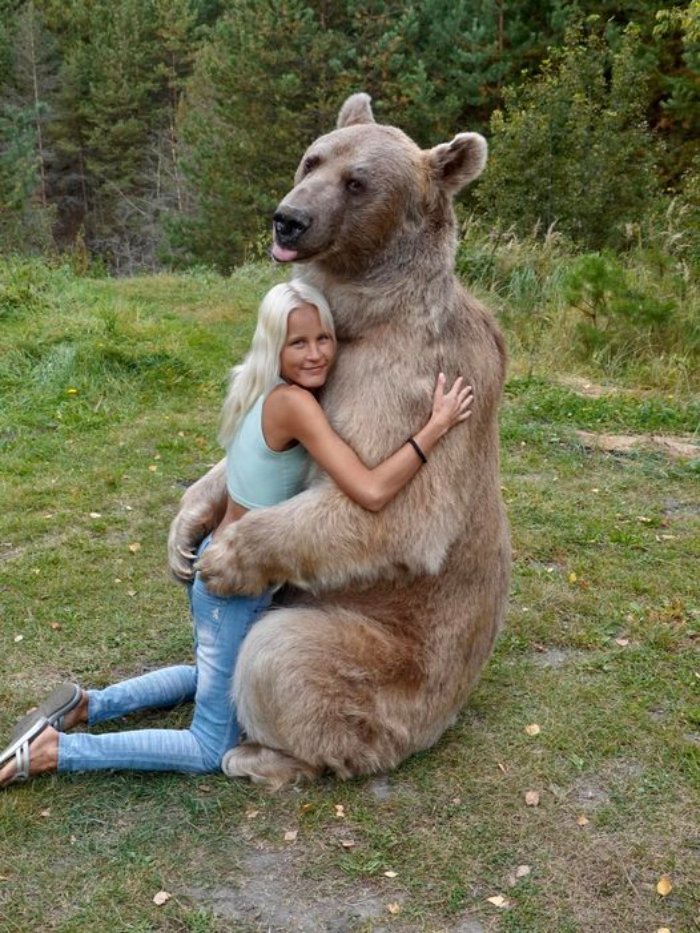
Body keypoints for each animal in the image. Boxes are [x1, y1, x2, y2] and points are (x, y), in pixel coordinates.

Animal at [167, 93, 511, 787]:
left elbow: (395, 513)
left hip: (397, 664)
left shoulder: (412, 378)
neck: (359, 318)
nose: (288, 220)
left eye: (357, 183)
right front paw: (185, 534)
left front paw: (225, 558)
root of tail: (446, 716)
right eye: (312, 158)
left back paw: (261, 755)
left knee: (285, 654)